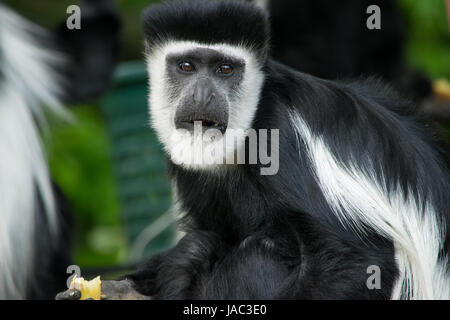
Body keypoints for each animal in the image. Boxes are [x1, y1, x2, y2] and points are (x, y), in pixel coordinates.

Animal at [121, 0, 448, 300]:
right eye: (186, 66)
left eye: (225, 69)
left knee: (257, 251)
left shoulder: (281, 139)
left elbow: (361, 260)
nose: (203, 96)